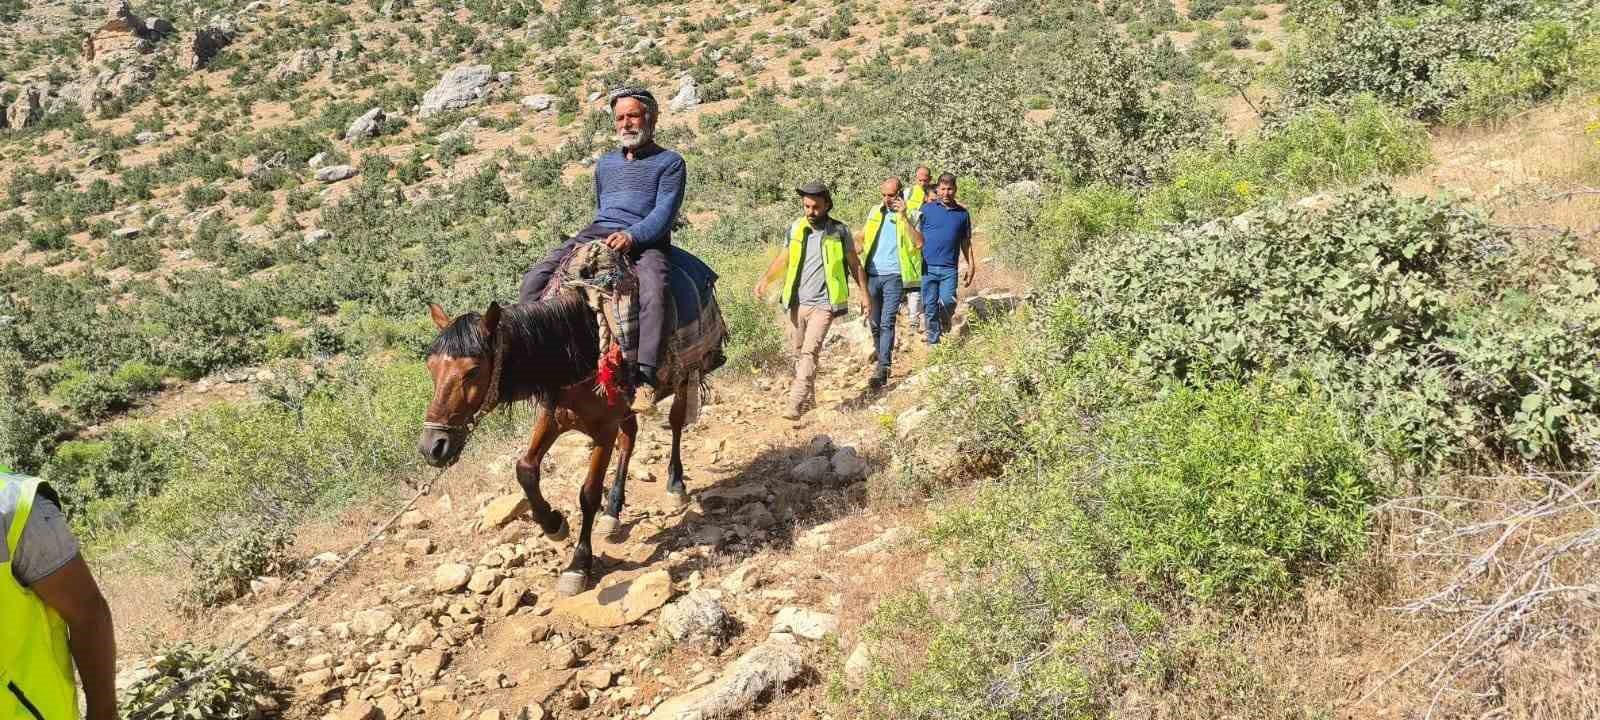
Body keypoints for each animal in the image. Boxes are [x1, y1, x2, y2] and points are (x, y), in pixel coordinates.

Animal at [425, 286, 726, 595]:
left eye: (472, 371)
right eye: (431, 367)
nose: (433, 446)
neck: (577, 353)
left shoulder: (604, 431)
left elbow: (589, 494)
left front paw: (579, 563)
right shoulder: (553, 418)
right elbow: (525, 469)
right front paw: (553, 524)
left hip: (682, 379)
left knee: (675, 424)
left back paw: (675, 484)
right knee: (629, 439)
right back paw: (613, 511)